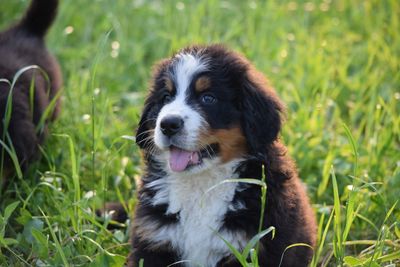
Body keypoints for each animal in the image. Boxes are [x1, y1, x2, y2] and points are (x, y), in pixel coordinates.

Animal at [130, 45, 316, 266]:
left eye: (208, 98)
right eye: (166, 97)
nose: (168, 124)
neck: (202, 185)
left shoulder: (253, 246)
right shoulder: (155, 240)